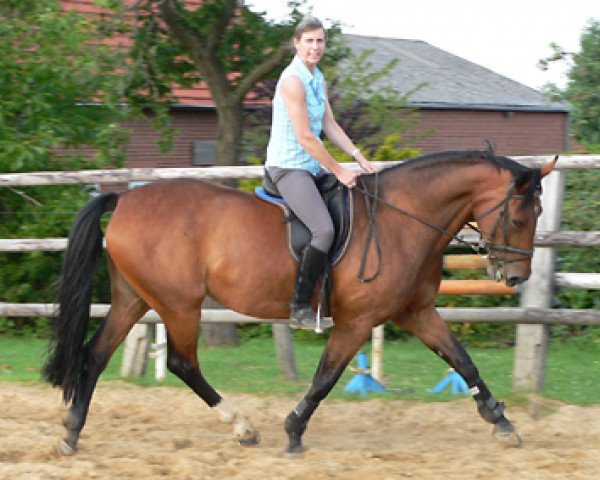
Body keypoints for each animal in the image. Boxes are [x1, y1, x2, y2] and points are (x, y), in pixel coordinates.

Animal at [43, 149, 556, 454]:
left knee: (94, 356)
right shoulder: (357, 321)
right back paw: (242, 427)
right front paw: (293, 431)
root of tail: (125, 201)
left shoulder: (416, 312)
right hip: (178, 304)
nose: (516, 277)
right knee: (181, 363)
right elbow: (326, 377)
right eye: (518, 214)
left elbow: (462, 361)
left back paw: (71, 431)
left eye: (538, 213)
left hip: (134, 298)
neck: (403, 219)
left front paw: (501, 423)